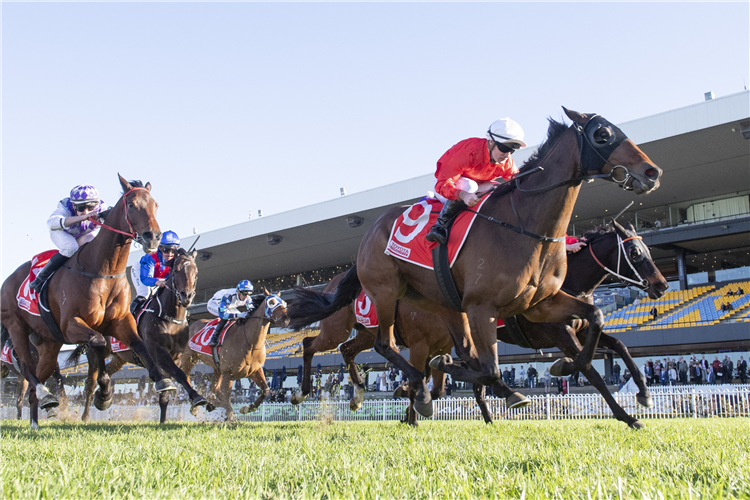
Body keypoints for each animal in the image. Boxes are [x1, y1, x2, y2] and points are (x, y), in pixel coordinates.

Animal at [0, 174, 176, 428]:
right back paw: (45, 395)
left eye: (156, 205)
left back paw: (38, 415)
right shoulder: (71, 325)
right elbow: (98, 343)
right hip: (16, 326)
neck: (103, 270)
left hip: (49, 343)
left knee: (37, 379)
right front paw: (104, 394)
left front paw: (163, 381)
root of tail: (8, 280)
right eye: (131, 204)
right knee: (25, 366)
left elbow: (139, 344)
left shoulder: (120, 322)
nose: (152, 237)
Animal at [72, 248, 207, 424]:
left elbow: (170, 385)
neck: (168, 317)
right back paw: (86, 415)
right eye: (176, 270)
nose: (187, 296)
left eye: (196, 273)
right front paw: (197, 398)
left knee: (107, 372)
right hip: (93, 354)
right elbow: (179, 374)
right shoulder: (158, 352)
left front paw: (163, 421)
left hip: (119, 358)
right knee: (90, 383)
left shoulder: (176, 356)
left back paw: (102, 396)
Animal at [179, 292, 290, 422]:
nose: (286, 319)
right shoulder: (228, 373)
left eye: (284, 303)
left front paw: (247, 408)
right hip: (189, 358)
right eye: (272, 302)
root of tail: (191, 324)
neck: (249, 342)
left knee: (213, 387)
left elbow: (266, 390)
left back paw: (210, 403)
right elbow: (226, 397)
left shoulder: (255, 370)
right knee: (186, 377)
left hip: (217, 367)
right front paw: (231, 416)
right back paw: (197, 404)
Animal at [288, 110, 664, 418]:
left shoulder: (542, 305)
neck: (525, 227)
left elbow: (599, 326)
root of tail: (367, 235)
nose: (652, 171)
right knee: (365, 345)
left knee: (370, 349)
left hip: (440, 306)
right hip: (381, 295)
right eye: (602, 134)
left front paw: (624, 399)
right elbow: (496, 368)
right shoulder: (489, 309)